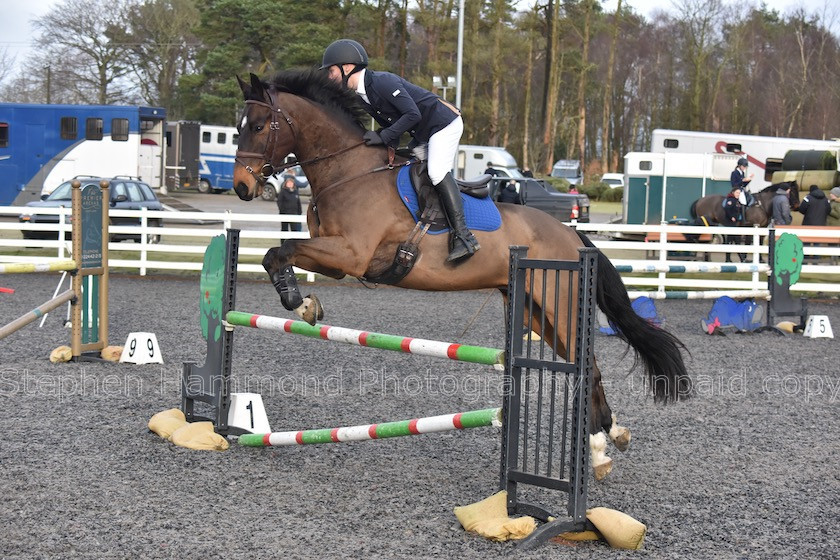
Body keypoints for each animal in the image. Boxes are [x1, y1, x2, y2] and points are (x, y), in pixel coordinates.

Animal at [231, 71, 688, 482]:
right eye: (238, 128)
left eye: (259, 126)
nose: (240, 188)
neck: (348, 170)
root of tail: (573, 235)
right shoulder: (339, 261)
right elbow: (277, 255)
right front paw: (304, 302)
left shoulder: (352, 254)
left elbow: (281, 251)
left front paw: (297, 302)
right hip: (537, 313)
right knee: (585, 366)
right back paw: (610, 437)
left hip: (560, 308)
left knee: (588, 366)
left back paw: (596, 449)